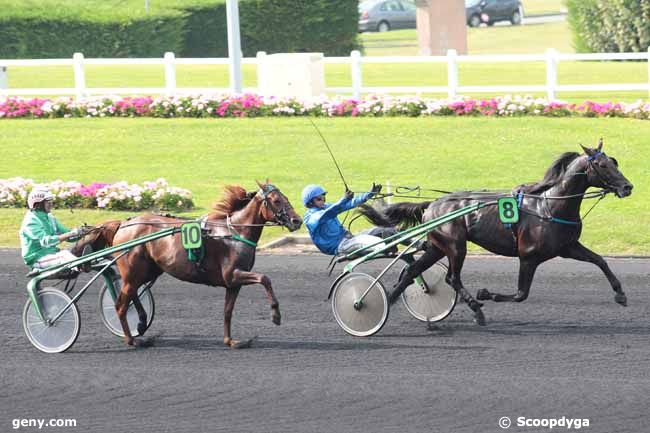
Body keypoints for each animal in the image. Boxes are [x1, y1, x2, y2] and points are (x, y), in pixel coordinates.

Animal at [110, 181, 302, 348]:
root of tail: (123, 224)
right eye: (276, 201)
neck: (235, 232)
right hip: (134, 272)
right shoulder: (233, 274)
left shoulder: (233, 283)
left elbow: (227, 311)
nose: (297, 220)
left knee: (133, 293)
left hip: (149, 270)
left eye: (285, 197)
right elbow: (265, 278)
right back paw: (131, 339)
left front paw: (230, 341)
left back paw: (141, 322)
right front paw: (276, 315)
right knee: (121, 304)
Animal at [356, 140, 632, 326]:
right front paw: (486, 294)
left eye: (615, 161)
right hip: (455, 246)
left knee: (413, 271)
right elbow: (521, 294)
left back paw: (388, 300)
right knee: (452, 278)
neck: (549, 206)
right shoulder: (528, 256)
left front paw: (620, 294)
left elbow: (600, 261)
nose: (627, 187)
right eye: (602, 165)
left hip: (437, 247)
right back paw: (476, 309)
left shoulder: (568, 247)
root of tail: (432, 204)